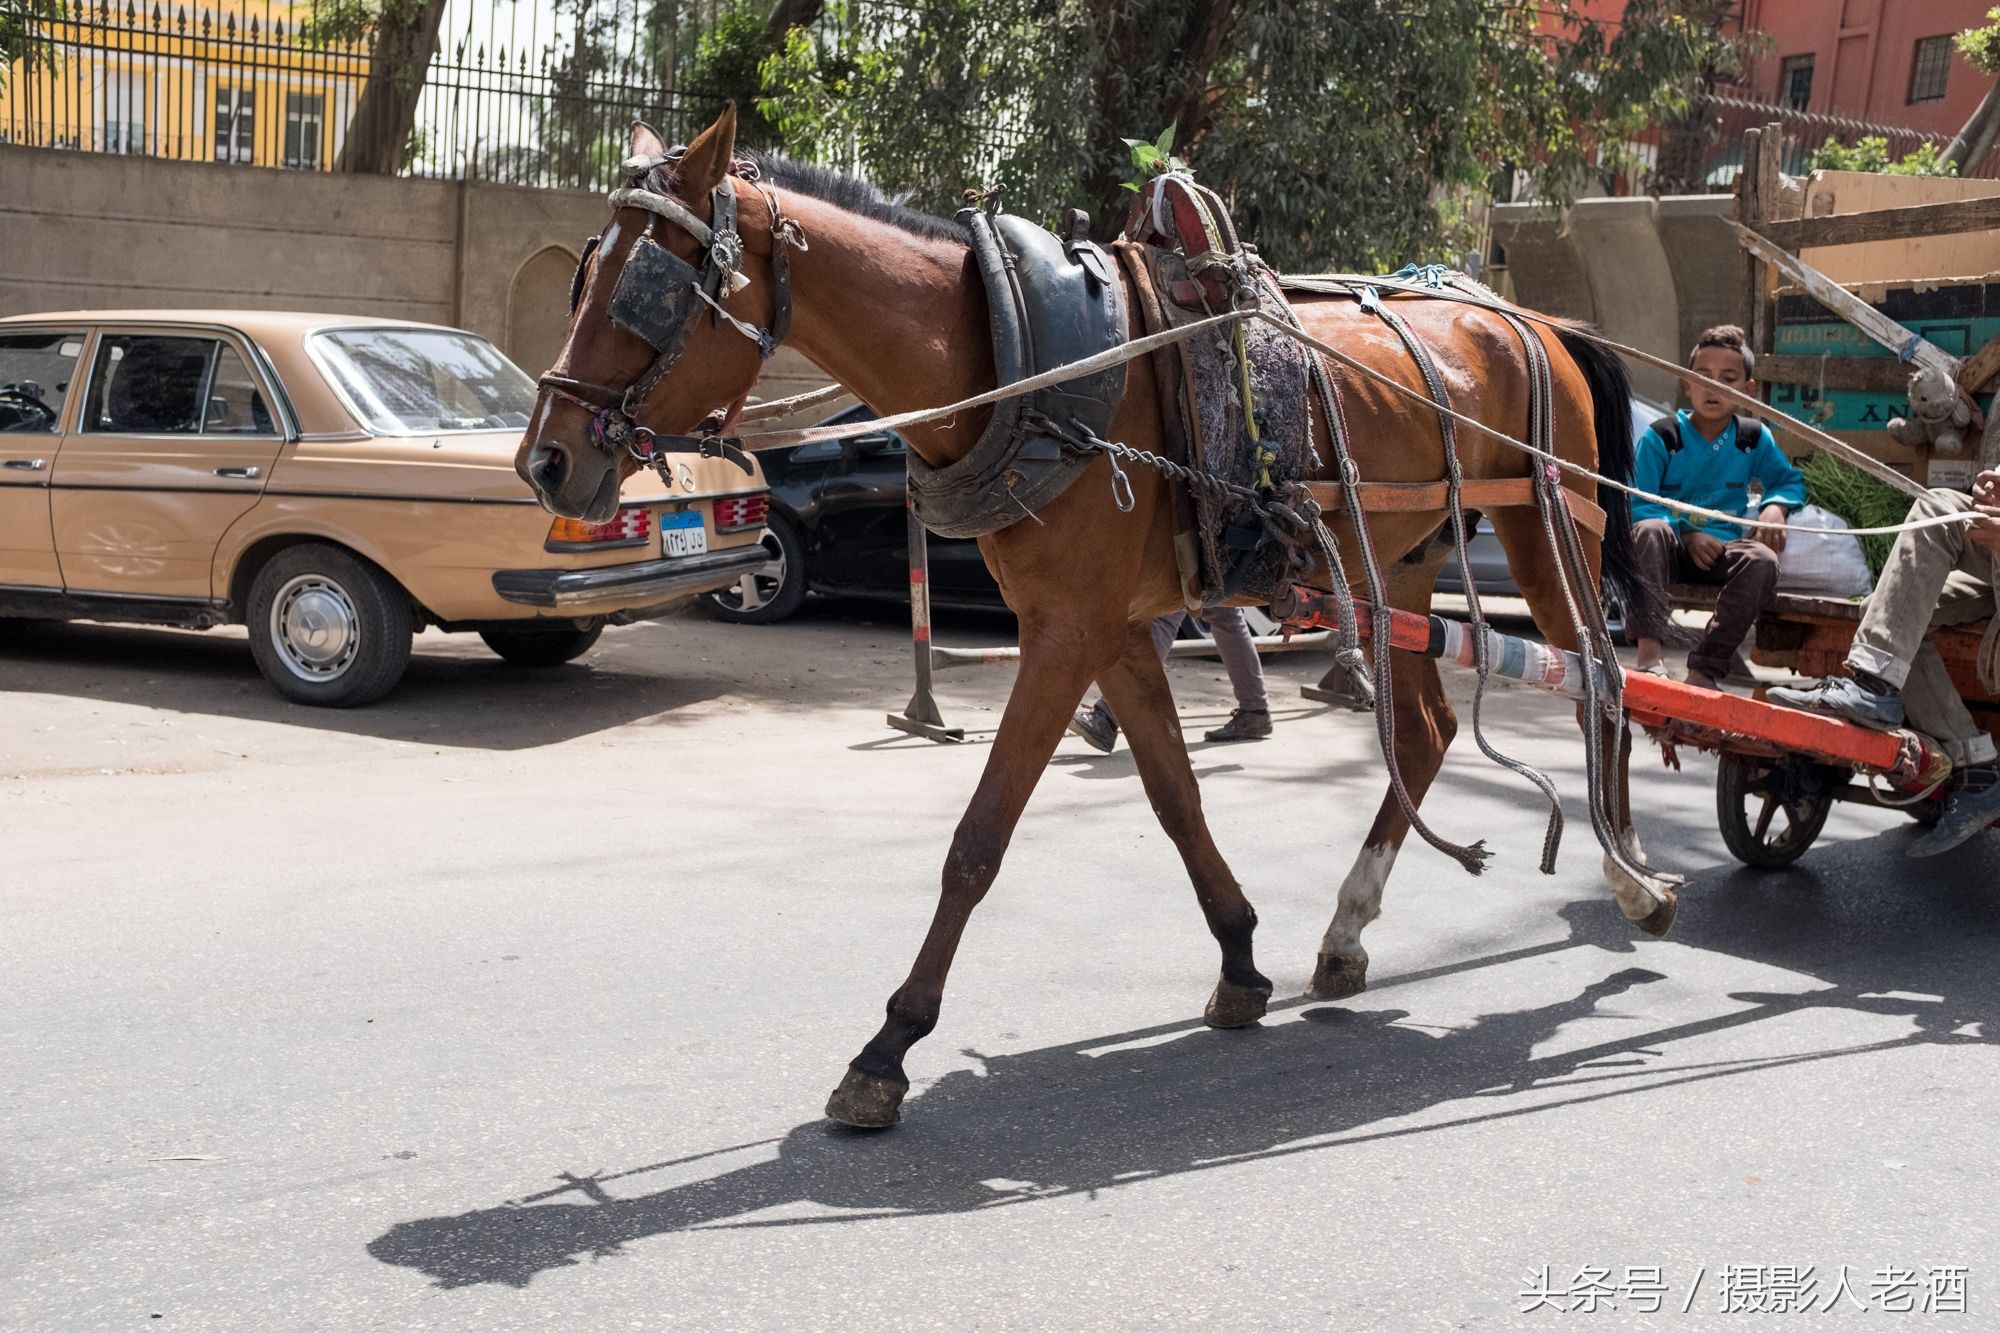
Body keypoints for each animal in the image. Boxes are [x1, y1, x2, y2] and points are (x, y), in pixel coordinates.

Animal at [516, 106, 1672, 1120]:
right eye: (581, 275)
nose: (546, 462)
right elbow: (1174, 797)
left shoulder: (1066, 629)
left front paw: (888, 1046)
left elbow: (979, 838)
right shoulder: (1108, 625)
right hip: (1402, 562)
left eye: (646, 288)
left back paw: (1633, 875)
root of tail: (1539, 321)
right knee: (1430, 726)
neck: (1019, 357)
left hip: (1546, 528)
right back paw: (1348, 930)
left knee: (1603, 679)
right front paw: (1240, 957)